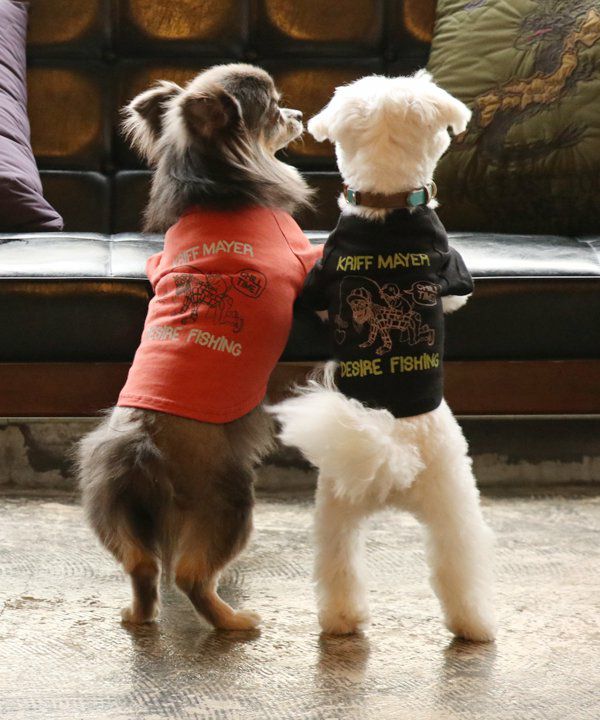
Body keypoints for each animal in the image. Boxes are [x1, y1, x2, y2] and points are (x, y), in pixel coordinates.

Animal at [76, 64, 320, 631]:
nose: (300, 113)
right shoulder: (302, 255)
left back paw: (138, 615)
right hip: (227, 504)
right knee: (190, 576)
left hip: (112, 509)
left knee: (142, 567)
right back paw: (234, 622)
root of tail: (142, 447)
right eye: (274, 110)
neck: (214, 188)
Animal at [270, 71, 497, 642]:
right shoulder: (451, 266)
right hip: (453, 488)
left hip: (335, 501)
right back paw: (477, 624)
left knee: (339, 563)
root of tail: (389, 448)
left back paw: (342, 620)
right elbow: (456, 297)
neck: (386, 202)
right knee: (460, 560)